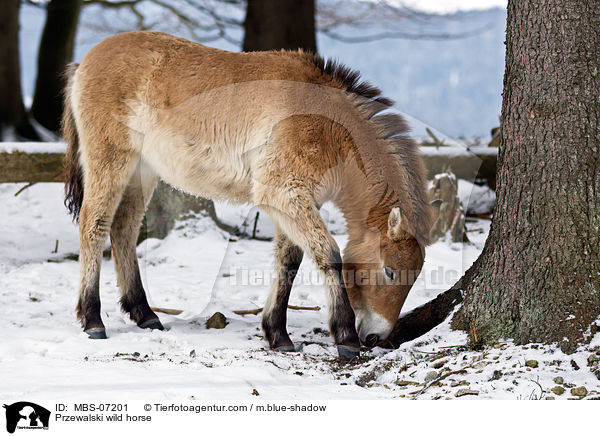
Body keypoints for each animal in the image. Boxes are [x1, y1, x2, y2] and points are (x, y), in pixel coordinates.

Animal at [62, 29, 432, 358]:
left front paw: (278, 334)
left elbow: (289, 262)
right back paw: (92, 320)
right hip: (110, 161)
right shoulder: (285, 195)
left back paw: (145, 314)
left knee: (124, 228)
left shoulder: (292, 203)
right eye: (389, 271)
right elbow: (329, 255)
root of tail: (84, 63)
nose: (375, 337)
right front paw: (345, 338)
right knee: (94, 225)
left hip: (143, 171)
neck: (328, 124)